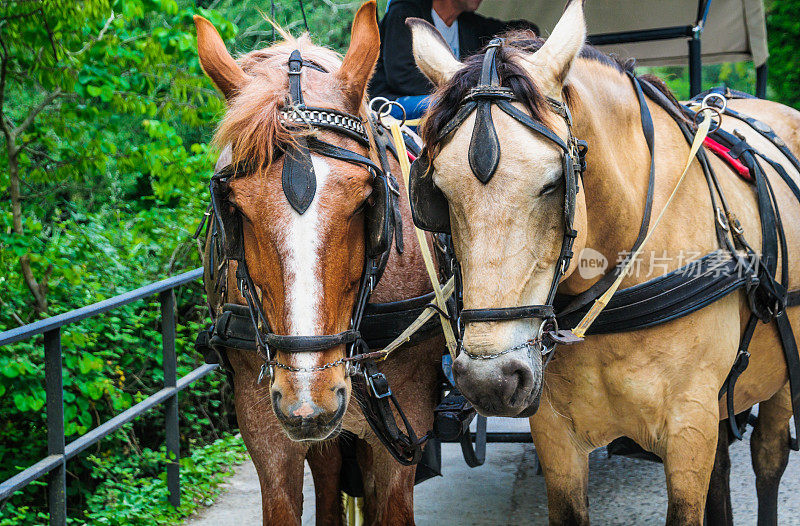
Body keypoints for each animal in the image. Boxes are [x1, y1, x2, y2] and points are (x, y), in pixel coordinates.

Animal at [410, 2, 800, 524]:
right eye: (436, 191)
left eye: (554, 183)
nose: (490, 380)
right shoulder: (556, 436)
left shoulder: (688, 427)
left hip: (778, 384)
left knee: (768, 461)